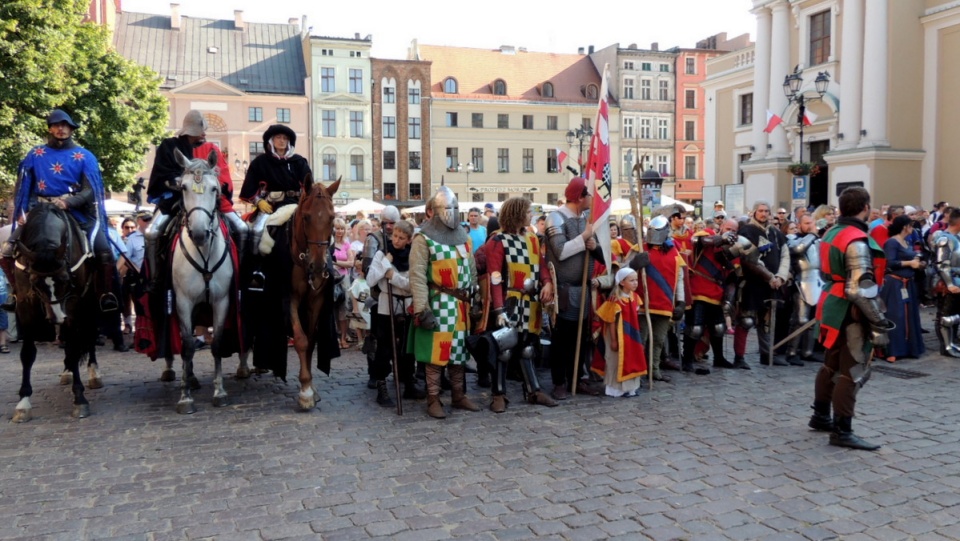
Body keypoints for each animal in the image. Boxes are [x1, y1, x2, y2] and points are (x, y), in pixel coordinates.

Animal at [9, 202, 101, 422]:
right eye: (35, 282)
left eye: (65, 279)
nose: (56, 317)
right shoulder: (25, 307)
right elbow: (27, 354)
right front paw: (23, 402)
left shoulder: (74, 305)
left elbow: (75, 347)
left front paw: (80, 399)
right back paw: (67, 371)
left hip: (90, 303)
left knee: (89, 334)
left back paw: (94, 372)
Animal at [166, 149, 239, 414]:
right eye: (183, 187)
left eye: (215, 189)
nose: (198, 233)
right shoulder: (183, 303)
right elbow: (187, 345)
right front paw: (185, 396)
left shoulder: (222, 301)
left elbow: (217, 343)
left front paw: (220, 392)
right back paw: (189, 379)